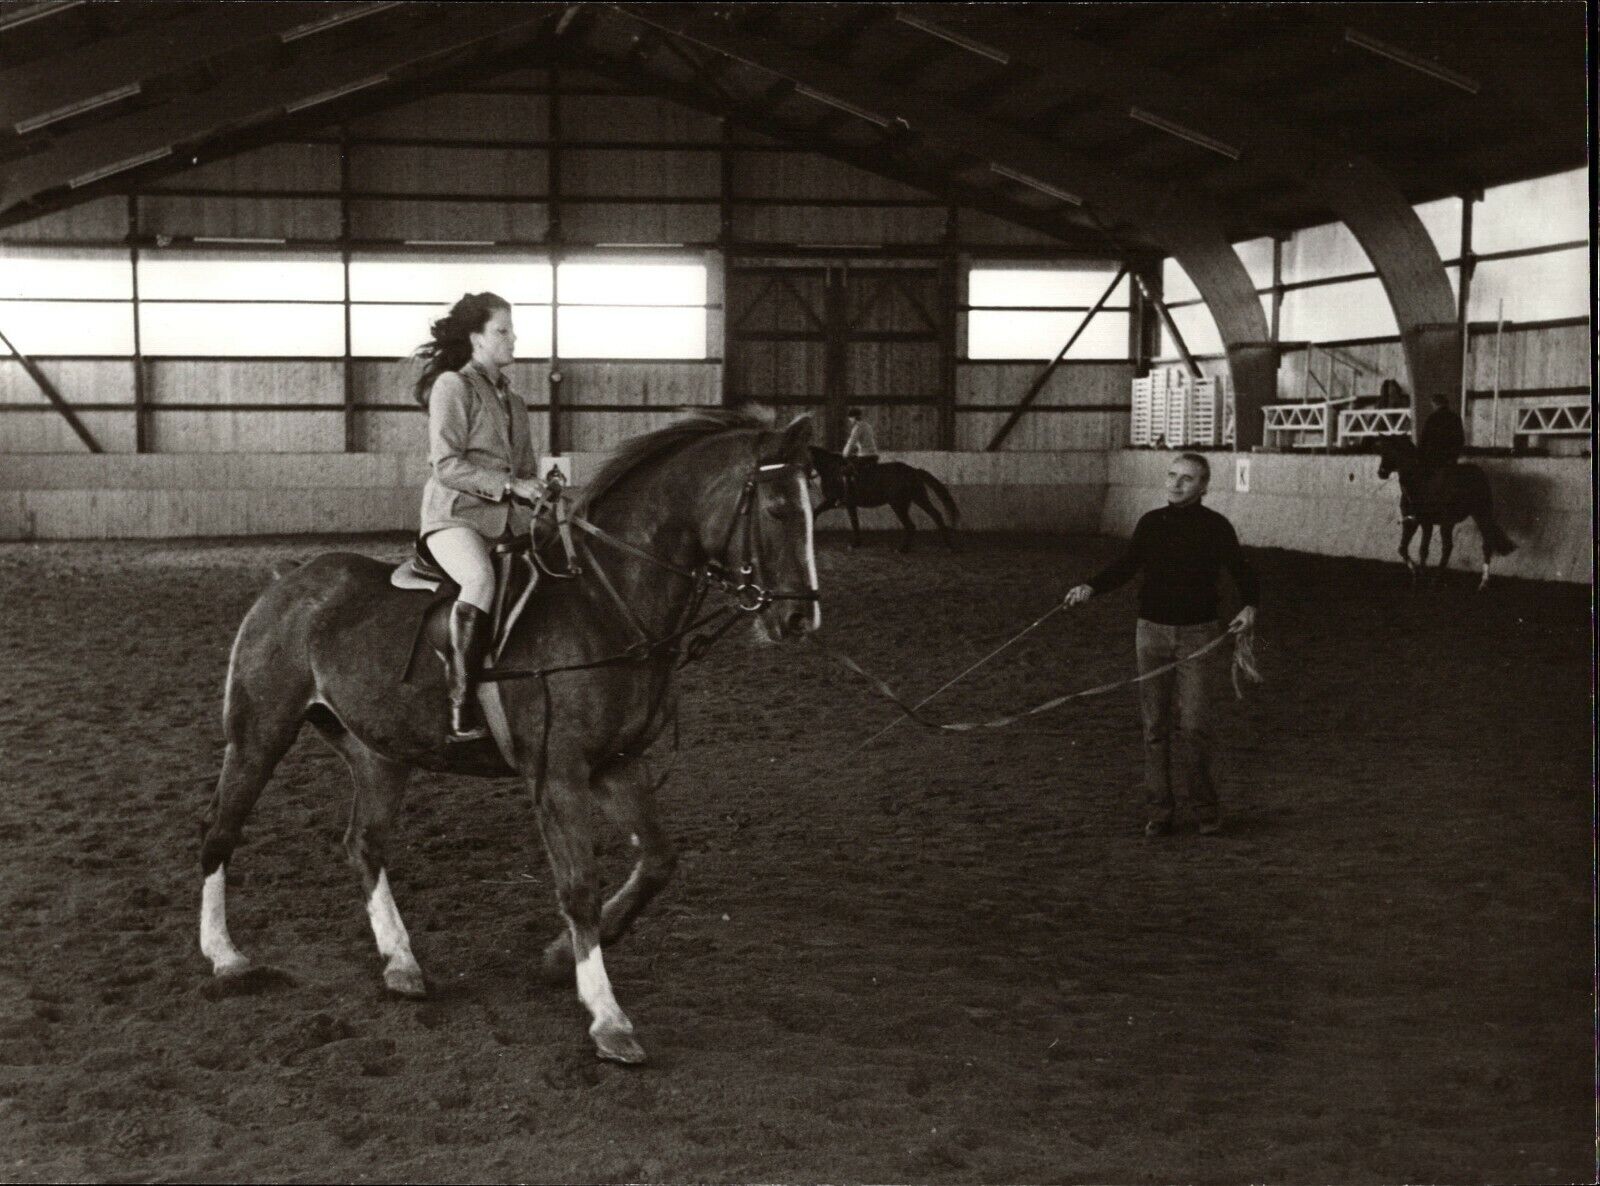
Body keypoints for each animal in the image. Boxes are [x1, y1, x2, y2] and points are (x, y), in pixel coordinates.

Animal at [198, 412, 819, 1056]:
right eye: (777, 508)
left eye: (813, 507)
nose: (800, 618)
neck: (607, 604)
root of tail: (290, 579)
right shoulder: (558, 772)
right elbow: (579, 885)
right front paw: (607, 1016)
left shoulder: (617, 764)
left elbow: (657, 862)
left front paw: (557, 958)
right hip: (259, 734)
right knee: (221, 830)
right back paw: (226, 957)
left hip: (379, 754)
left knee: (362, 842)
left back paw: (401, 963)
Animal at [806, 444, 953, 553]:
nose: (806, 483)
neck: (832, 470)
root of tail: (914, 471)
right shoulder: (840, 503)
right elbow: (820, 514)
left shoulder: (838, 501)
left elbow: (851, 521)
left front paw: (855, 544)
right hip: (918, 498)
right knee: (935, 515)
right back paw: (948, 544)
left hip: (898, 504)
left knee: (911, 525)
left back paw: (903, 549)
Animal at [1376, 432, 1510, 588]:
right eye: (1382, 451)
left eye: (1394, 451)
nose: (1381, 473)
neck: (1419, 484)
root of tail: (1478, 472)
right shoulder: (1414, 523)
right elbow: (1407, 549)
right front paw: (1417, 575)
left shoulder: (1426, 523)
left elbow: (1422, 549)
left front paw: (1420, 575)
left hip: (1476, 516)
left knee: (1467, 545)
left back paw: (1480, 582)